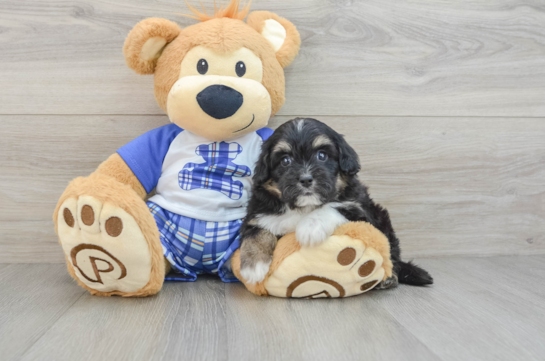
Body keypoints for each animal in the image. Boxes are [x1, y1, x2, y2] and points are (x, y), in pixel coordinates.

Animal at [240, 116, 432, 286]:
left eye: (322, 155)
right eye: (285, 160)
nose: (306, 179)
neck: (304, 207)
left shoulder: (359, 209)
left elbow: (335, 206)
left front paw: (310, 227)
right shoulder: (258, 212)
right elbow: (257, 231)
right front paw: (253, 265)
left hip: (382, 220)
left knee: (392, 255)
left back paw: (390, 277)